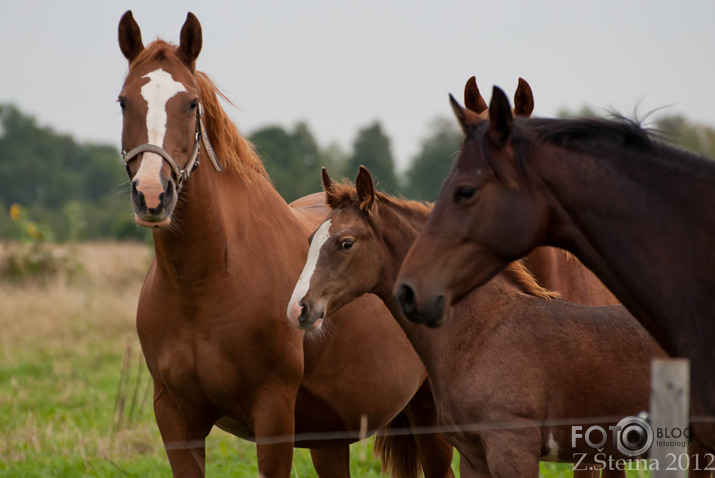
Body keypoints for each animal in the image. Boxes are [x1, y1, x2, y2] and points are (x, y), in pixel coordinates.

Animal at [117, 11, 454, 478]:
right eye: (123, 101)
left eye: (190, 103)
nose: (152, 194)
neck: (205, 284)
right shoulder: (174, 416)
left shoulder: (273, 412)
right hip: (331, 437)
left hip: (428, 412)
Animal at [288, 165, 676, 478]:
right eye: (309, 239)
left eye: (346, 243)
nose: (298, 309)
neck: (486, 329)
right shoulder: (473, 454)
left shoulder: (513, 449)